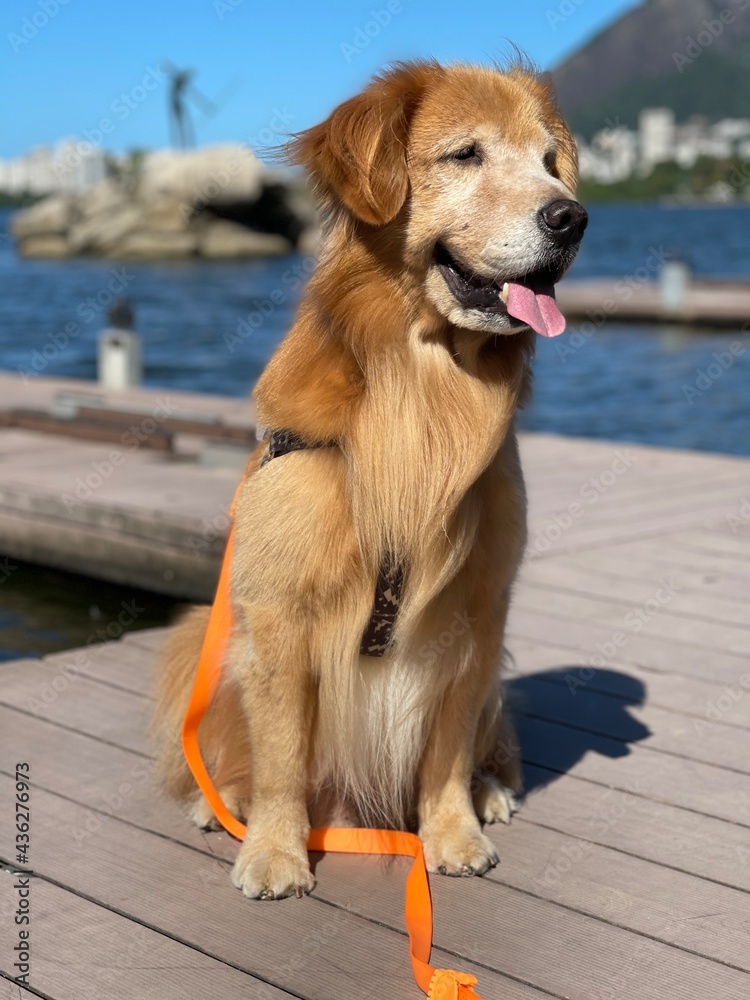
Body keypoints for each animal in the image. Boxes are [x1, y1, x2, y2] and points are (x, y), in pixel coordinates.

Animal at [151, 58, 588, 904]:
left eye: (551, 161)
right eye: (465, 154)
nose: (572, 219)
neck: (422, 390)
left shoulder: (478, 615)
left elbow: (447, 748)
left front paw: (452, 832)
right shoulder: (279, 608)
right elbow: (282, 755)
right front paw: (276, 851)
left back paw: (491, 788)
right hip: (203, 633)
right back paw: (220, 801)